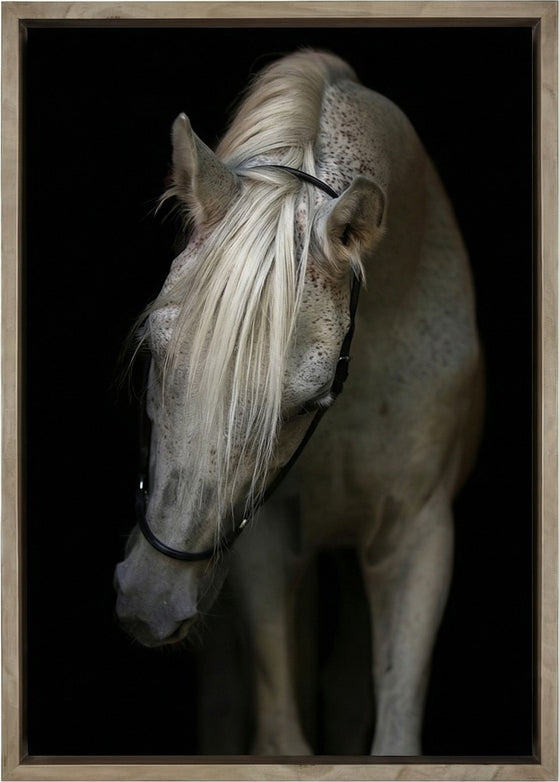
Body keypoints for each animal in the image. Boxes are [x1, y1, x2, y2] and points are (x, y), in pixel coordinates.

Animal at [114, 50, 483, 756]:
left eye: (310, 400)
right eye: (154, 350)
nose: (150, 599)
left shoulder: (418, 538)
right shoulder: (265, 539)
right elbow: (282, 738)